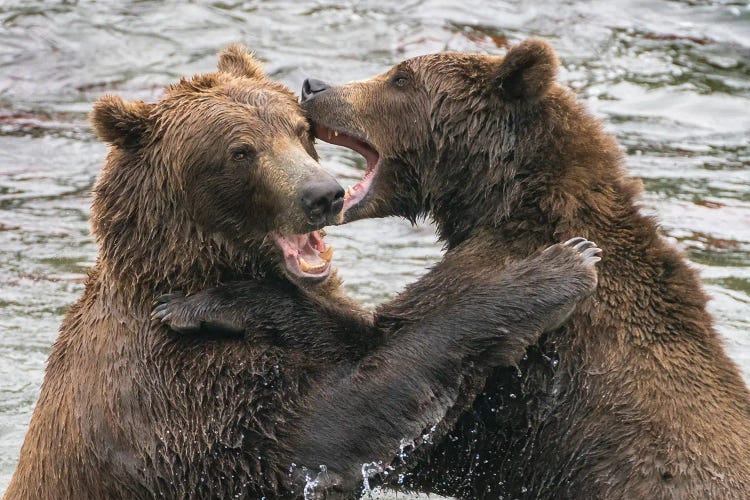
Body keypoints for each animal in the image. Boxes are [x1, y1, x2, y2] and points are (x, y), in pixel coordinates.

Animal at [0, 44, 600, 500]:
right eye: (241, 150)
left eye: (295, 128)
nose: (322, 194)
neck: (186, 268)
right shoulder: (178, 399)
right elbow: (333, 422)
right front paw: (559, 267)